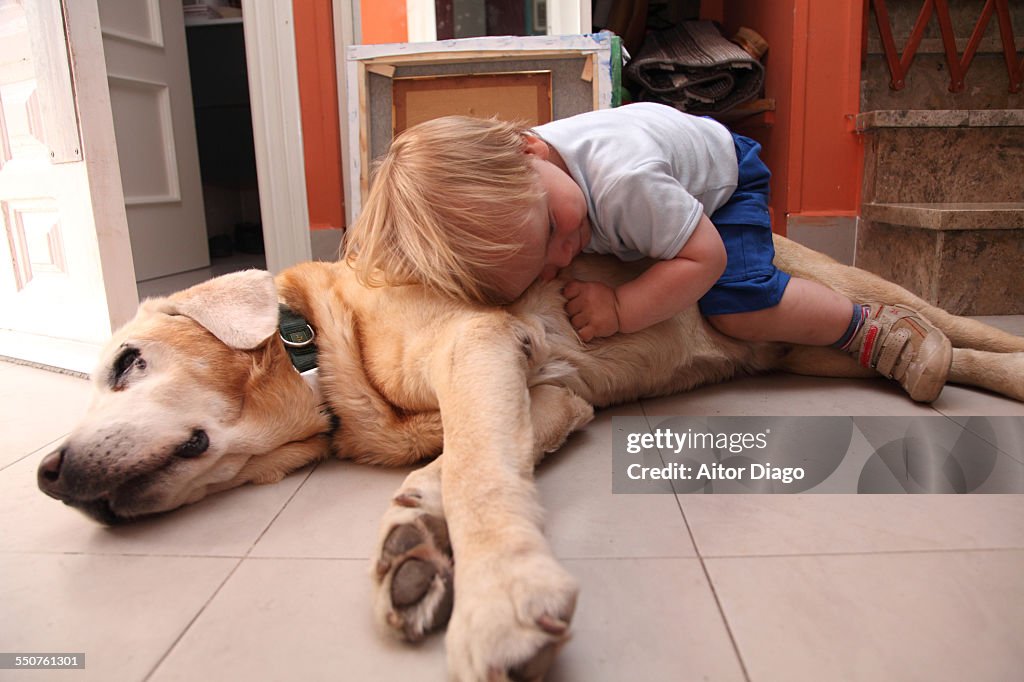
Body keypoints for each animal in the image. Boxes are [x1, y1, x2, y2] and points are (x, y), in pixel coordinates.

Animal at [37, 233, 1024, 675]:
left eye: (126, 363)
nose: (46, 476)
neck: (311, 345)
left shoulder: (476, 345)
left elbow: (479, 476)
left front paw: (496, 597)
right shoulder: (549, 393)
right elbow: (465, 466)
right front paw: (413, 540)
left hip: (829, 283)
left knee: (969, 330)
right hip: (800, 348)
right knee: (945, 357)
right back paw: (913, 360)